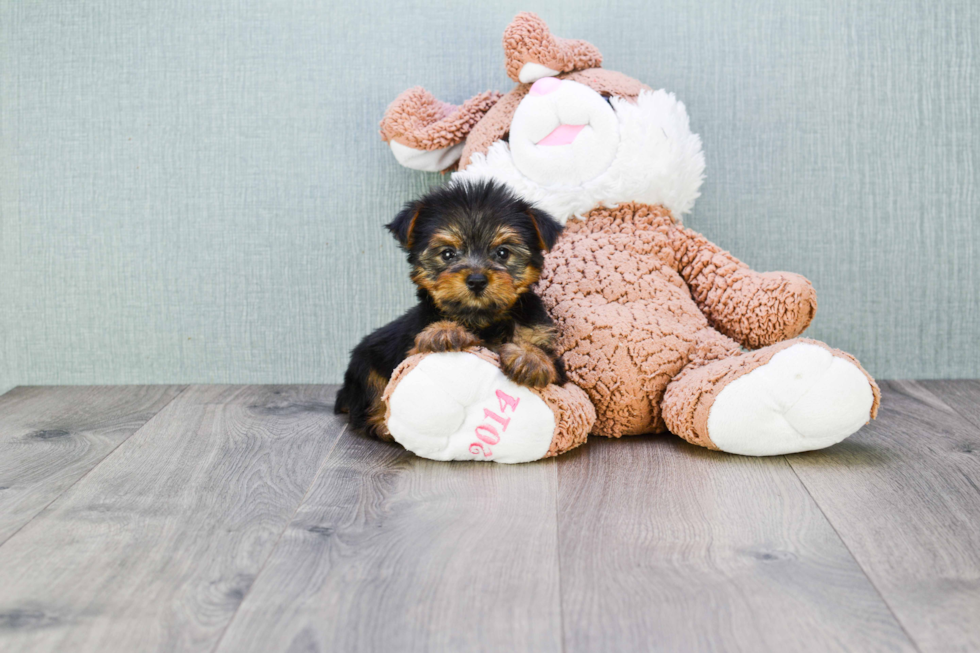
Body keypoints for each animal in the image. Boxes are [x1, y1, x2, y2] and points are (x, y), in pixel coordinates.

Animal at [336, 181, 568, 440]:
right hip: (365, 362)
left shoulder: (554, 362)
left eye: (503, 253)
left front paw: (529, 357)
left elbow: (548, 360)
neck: (482, 320)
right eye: (447, 254)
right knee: (370, 398)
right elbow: (414, 352)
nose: (476, 280)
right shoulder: (411, 344)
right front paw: (445, 331)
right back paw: (383, 424)